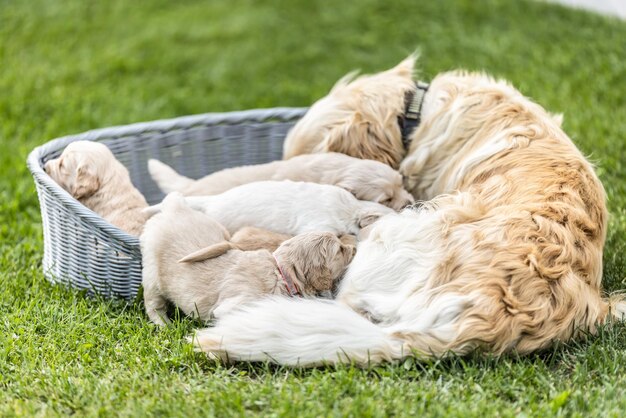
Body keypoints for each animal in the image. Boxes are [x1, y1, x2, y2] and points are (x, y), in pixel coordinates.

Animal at [142, 193, 356, 326]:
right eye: (339, 249)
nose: (354, 248)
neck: (281, 273)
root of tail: (176, 207)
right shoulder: (233, 306)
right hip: (152, 276)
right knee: (153, 305)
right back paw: (164, 324)